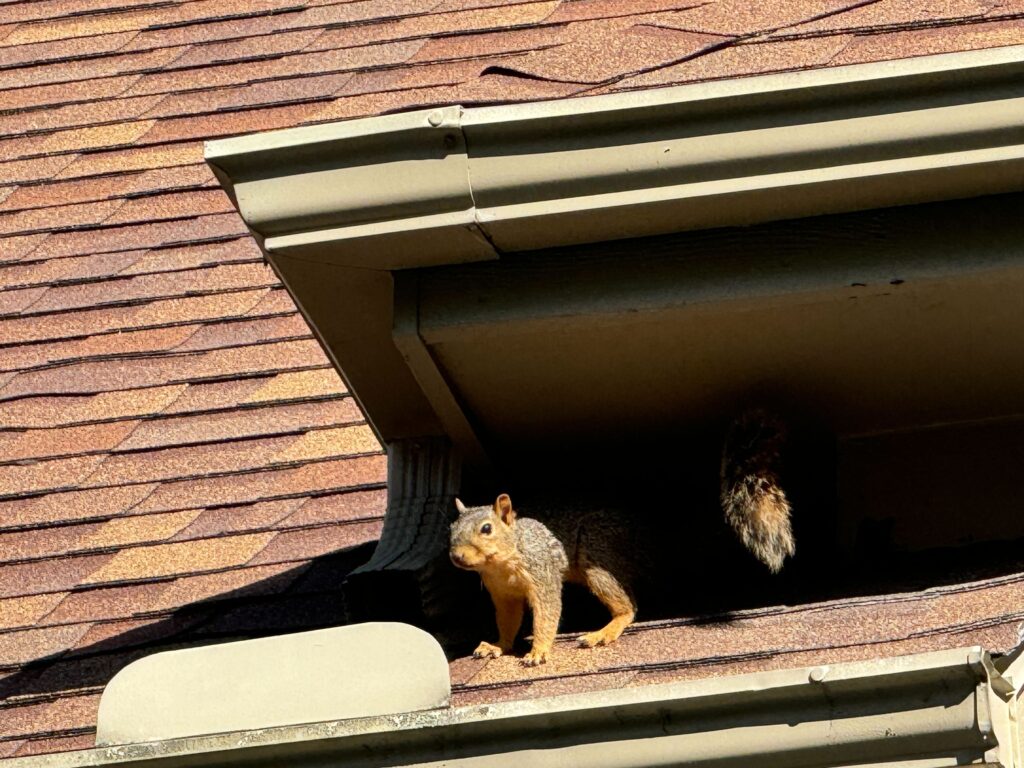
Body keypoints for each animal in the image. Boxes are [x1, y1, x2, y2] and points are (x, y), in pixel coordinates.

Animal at [449, 494, 637, 666]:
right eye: (451, 528)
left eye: (487, 528)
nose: (456, 556)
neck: (501, 566)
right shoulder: (503, 593)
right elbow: (508, 620)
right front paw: (499, 645)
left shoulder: (543, 575)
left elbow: (546, 614)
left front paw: (538, 652)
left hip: (597, 552)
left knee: (628, 608)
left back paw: (602, 633)